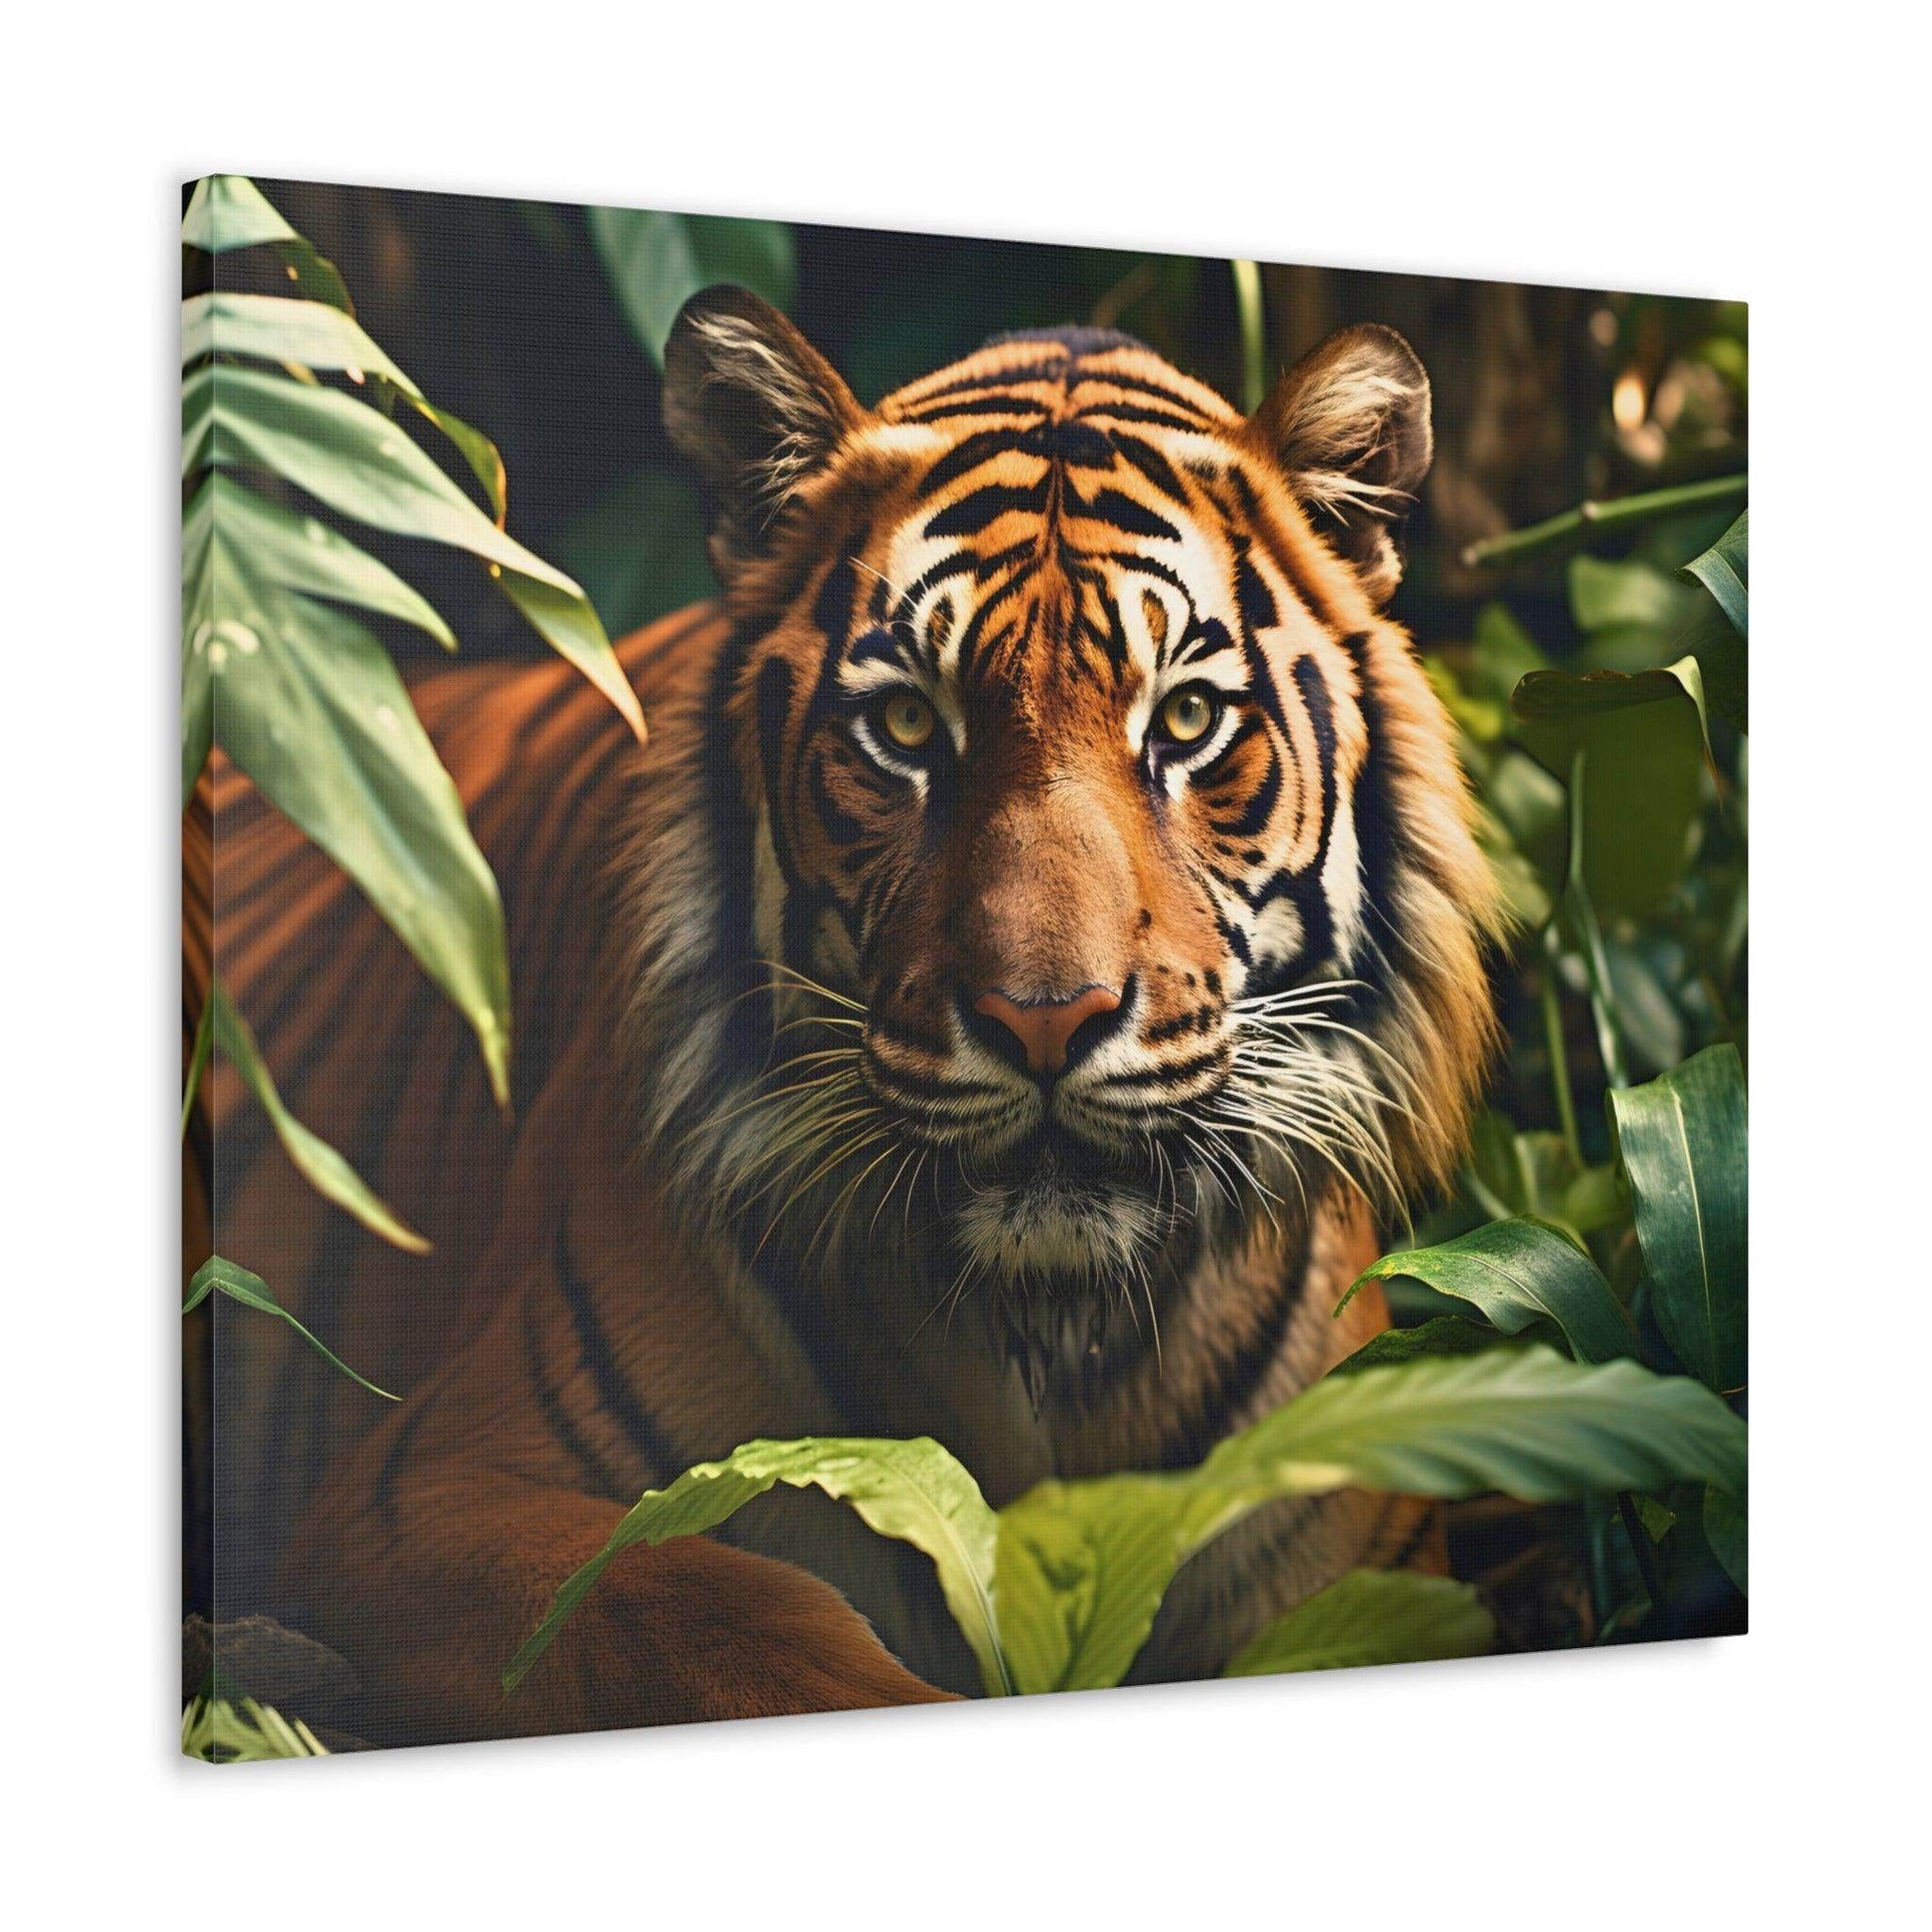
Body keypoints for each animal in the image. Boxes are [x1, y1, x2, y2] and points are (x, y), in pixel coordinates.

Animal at [183, 289, 1504, 1746]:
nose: (1045, 1020)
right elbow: (704, 1609)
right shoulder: (424, 1490)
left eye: (1191, 718)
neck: (1046, 1343)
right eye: (909, 726)